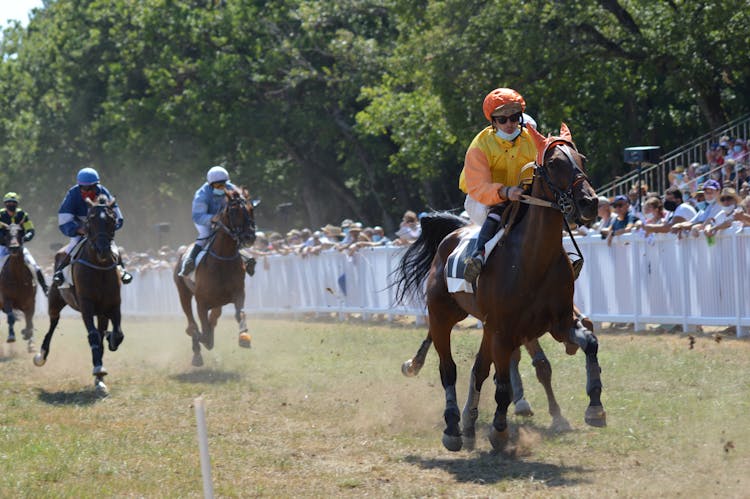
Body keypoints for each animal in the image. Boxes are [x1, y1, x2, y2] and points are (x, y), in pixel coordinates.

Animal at [0, 223, 37, 352]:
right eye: (6, 234)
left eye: (20, 233)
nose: (14, 248)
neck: (18, 279)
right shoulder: (6, 299)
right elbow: (11, 317)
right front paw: (11, 336)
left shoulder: (30, 302)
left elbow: (30, 321)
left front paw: (30, 342)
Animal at [34, 197, 123, 396]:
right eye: (90, 220)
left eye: (112, 220)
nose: (103, 250)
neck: (99, 268)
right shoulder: (86, 305)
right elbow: (93, 335)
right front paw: (98, 369)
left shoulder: (113, 304)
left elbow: (117, 334)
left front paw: (111, 341)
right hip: (55, 302)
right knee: (52, 325)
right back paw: (41, 356)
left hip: (101, 313)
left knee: (102, 332)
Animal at [174, 188, 258, 368]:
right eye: (234, 211)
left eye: (251, 209)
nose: (249, 237)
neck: (222, 260)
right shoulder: (201, 302)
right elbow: (201, 331)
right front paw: (197, 338)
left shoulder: (238, 293)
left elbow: (240, 314)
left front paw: (244, 337)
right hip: (183, 292)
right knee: (191, 318)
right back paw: (197, 353)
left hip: (218, 301)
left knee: (213, 317)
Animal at [394, 125, 604, 454]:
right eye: (554, 163)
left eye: (581, 159)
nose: (589, 202)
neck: (532, 259)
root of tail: (453, 233)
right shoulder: (505, 330)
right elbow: (503, 382)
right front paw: (500, 429)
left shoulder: (557, 322)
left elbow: (589, 343)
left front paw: (594, 406)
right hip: (443, 316)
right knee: (448, 369)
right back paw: (452, 426)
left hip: (485, 324)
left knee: (478, 369)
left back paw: (468, 423)